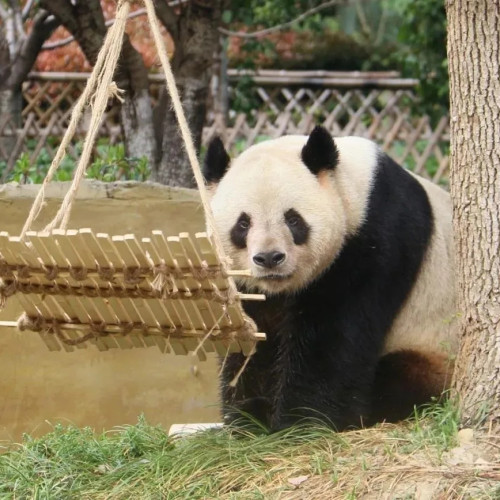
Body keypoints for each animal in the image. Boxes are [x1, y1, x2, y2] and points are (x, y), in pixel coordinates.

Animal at [202, 125, 458, 430]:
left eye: (293, 219)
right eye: (243, 224)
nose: (269, 258)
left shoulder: (374, 242)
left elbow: (333, 342)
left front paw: (300, 422)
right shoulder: (246, 285)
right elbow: (252, 340)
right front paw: (249, 419)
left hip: (434, 347)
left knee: (401, 378)